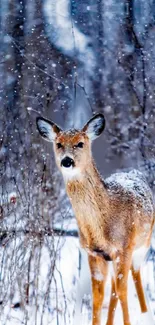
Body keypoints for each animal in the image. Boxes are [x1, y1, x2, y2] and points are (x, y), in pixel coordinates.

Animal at [36, 113, 154, 324]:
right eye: (59, 144)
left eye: (80, 143)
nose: (67, 161)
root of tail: (133, 172)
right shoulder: (94, 253)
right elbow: (98, 297)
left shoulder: (124, 247)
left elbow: (122, 292)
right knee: (114, 287)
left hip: (143, 244)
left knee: (134, 276)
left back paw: (145, 313)